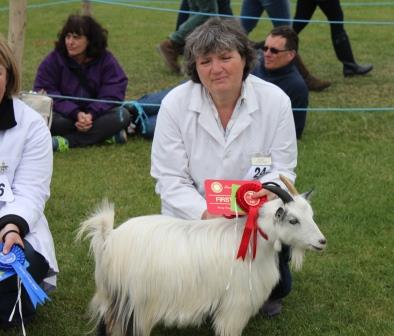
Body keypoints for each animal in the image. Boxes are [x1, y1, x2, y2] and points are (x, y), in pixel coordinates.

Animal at [77, 177, 326, 334]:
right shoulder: (236, 304)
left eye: (311, 215)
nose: (322, 242)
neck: (254, 243)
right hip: (132, 301)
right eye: (293, 220)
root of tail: (108, 238)